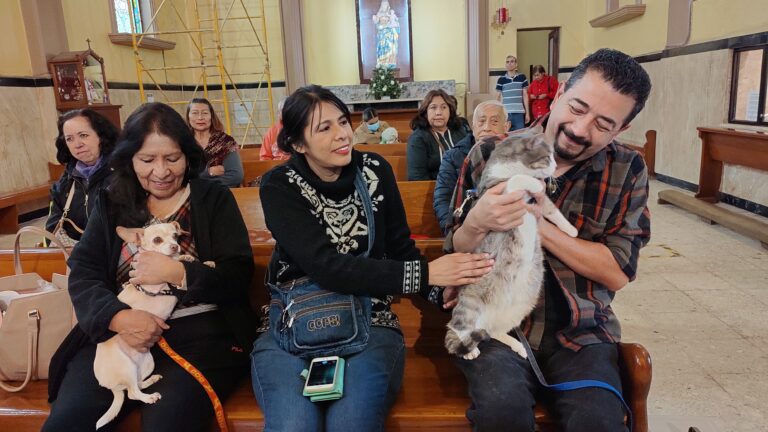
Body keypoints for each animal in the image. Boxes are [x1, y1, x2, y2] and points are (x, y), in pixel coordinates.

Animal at [444, 133, 576, 360]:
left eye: (553, 156)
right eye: (547, 157)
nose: (556, 166)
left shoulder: (537, 202)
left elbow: (552, 211)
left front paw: (571, 230)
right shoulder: (498, 192)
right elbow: (517, 180)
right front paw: (532, 181)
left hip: (521, 307)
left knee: (493, 331)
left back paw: (518, 346)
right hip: (469, 305)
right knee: (457, 327)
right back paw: (469, 349)